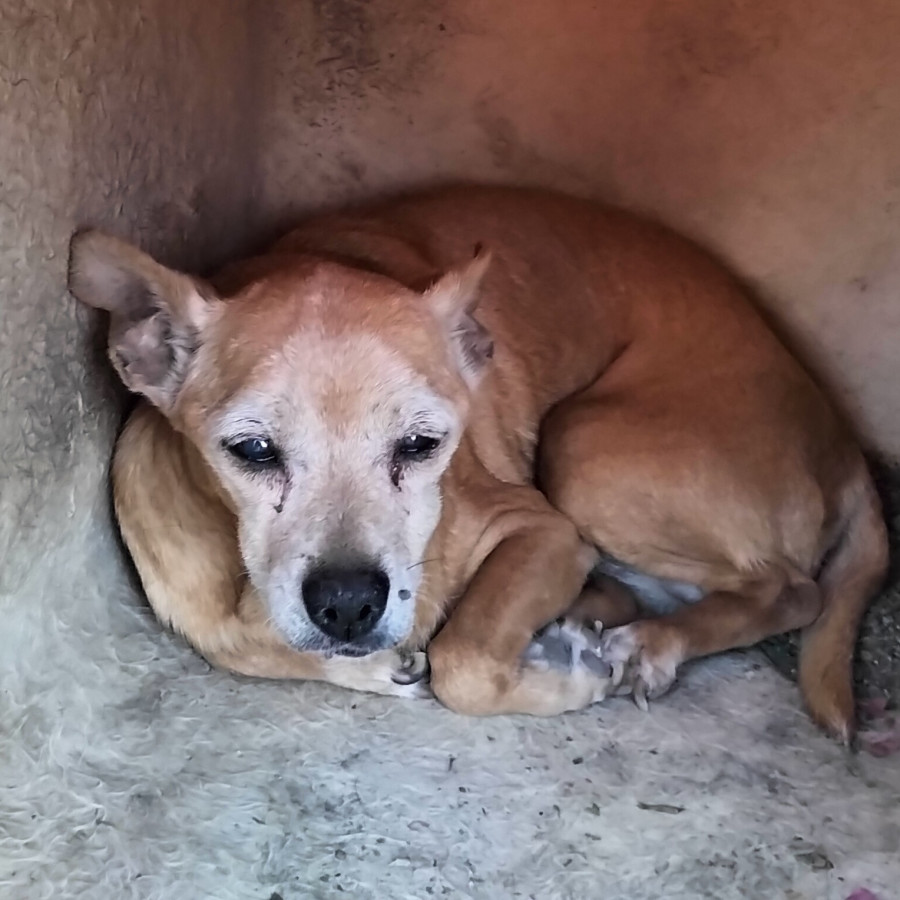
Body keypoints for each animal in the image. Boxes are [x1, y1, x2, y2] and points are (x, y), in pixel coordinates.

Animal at [67, 183, 888, 740]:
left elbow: (462, 662)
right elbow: (252, 646)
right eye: (251, 449)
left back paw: (652, 643)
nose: (348, 604)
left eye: (422, 445)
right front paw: (378, 664)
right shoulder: (201, 609)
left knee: (795, 590)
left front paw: (564, 683)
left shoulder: (542, 530)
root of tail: (843, 440)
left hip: (588, 452)